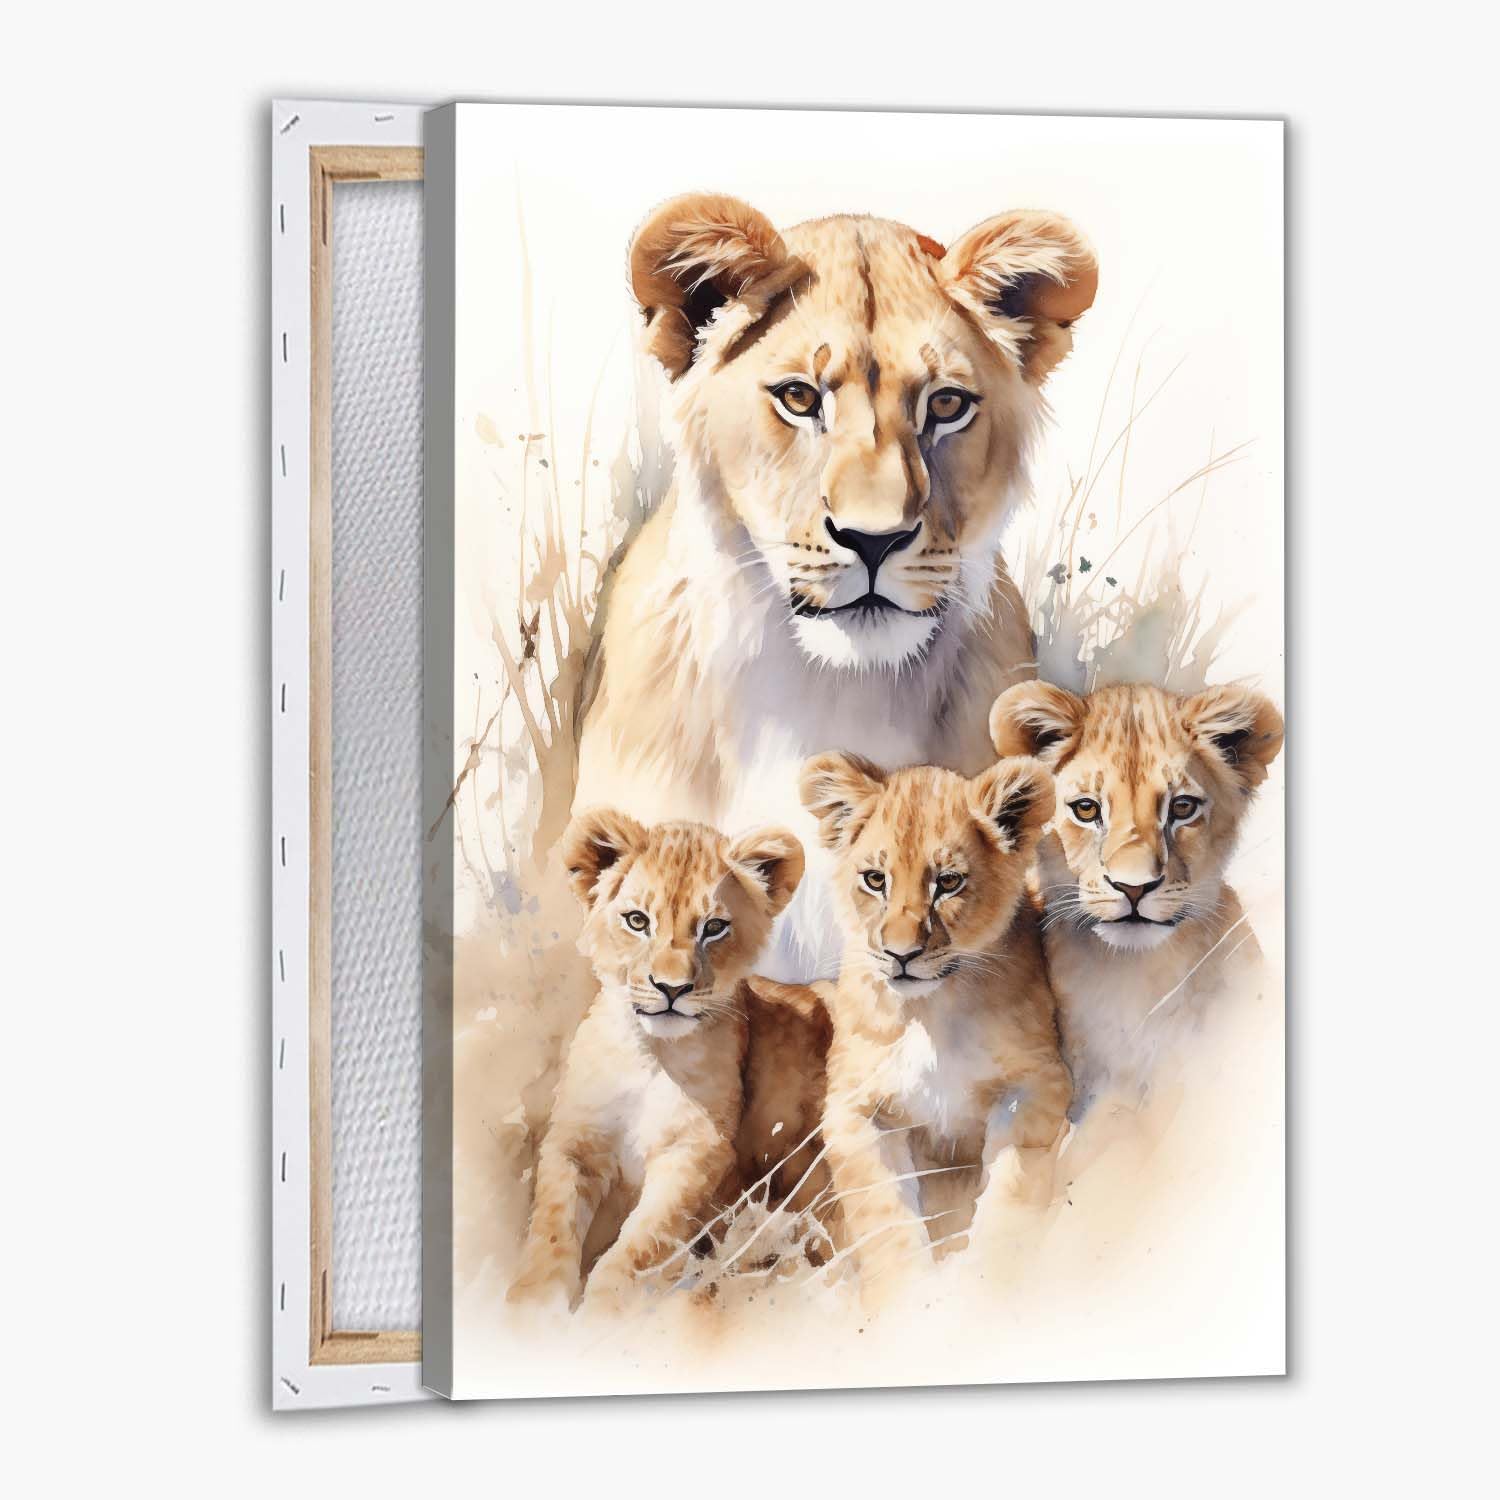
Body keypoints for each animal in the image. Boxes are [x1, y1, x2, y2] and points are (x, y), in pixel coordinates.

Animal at [507, 809, 810, 1311]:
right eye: (637, 920)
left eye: (714, 927)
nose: (672, 988)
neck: (652, 1056)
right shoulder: (574, 1138)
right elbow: (552, 1224)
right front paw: (532, 1307)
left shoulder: (698, 1150)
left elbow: (643, 1242)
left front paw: (605, 1310)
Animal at [797, 750, 1071, 1297]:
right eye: (874, 880)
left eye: (948, 882)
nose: (900, 955)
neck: (929, 1013)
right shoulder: (853, 1108)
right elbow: (884, 1215)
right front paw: (907, 1302)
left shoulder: (1041, 1081)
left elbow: (1010, 1188)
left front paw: (986, 1283)